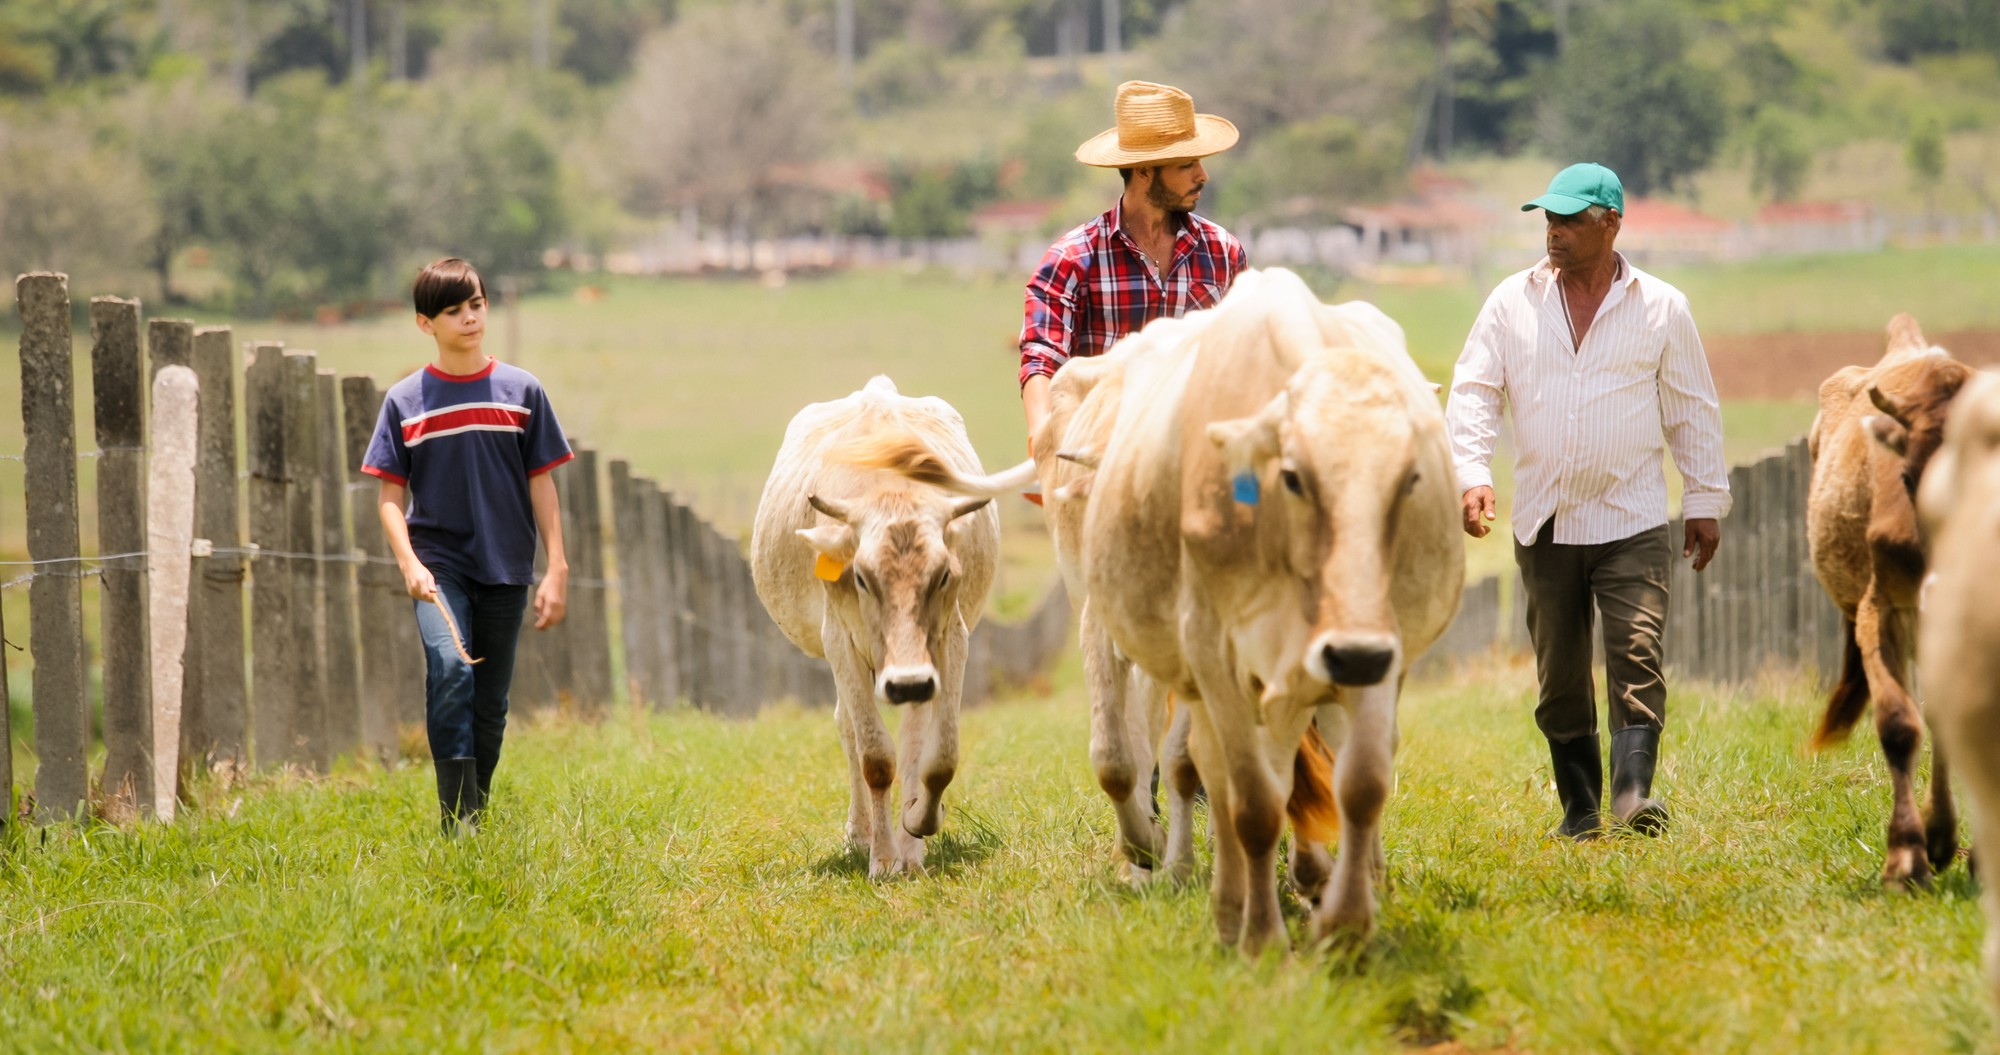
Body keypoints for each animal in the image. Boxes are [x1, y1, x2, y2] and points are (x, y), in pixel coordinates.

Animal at [752, 375, 1000, 879]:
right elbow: (875, 758)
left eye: (943, 575)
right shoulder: (840, 642)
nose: (908, 682)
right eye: (862, 577)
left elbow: (935, 758)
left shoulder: (950, 641)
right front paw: (883, 860)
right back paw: (860, 834)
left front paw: (917, 834)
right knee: (848, 728)